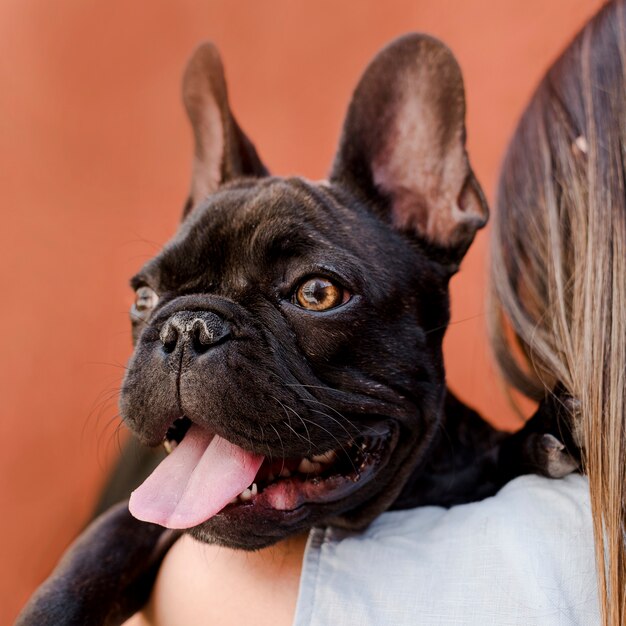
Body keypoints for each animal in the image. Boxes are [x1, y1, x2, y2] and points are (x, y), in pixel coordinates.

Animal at [18, 34, 576, 624]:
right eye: (143, 296)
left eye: (317, 293)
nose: (188, 328)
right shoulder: (130, 519)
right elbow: (99, 550)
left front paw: (540, 437)